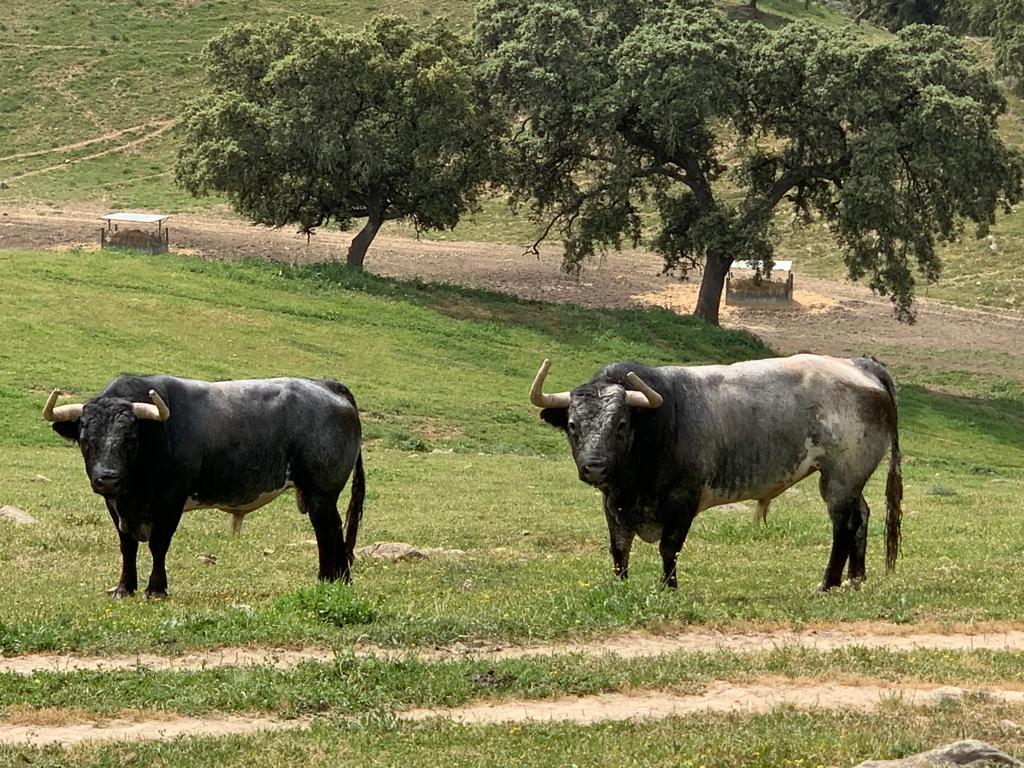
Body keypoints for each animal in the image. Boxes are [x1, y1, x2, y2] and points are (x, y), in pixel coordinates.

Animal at [44, 376, 364, 598]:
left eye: (131, 439)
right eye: (85, 440)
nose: (107, 478)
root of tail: (326, 386)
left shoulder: (170, 502)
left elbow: (159, 544)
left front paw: (155, 589)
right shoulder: (116, 505)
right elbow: (127, 545)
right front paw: (125, 588)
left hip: (321, 493)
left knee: (327, 532)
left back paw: (329, 580)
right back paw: (339, 580)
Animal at [532, 354, 901, 589]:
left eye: (621, 424)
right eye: (572, 425)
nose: (595, 466)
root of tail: (859, 365)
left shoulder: (683, 502)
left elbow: (669, 548)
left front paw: (668, 589)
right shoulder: (613, 504)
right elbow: (619, 549)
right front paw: (620, 587)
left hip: (842, 476)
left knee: (843, 526)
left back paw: (827, 583)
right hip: (847, 480)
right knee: (861, 516)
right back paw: (855, 578)